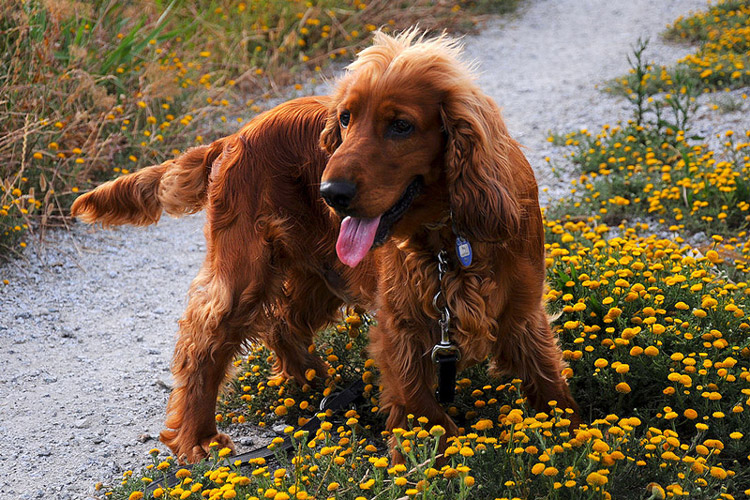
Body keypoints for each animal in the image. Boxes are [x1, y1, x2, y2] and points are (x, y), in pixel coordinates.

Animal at [73, 29, 580, 462]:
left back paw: (316, 384)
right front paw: (429, 461)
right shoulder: (403, 323)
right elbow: (421, 407)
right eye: (346, 118)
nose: (329, 192)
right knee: (204, 341)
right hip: (245, 272)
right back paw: (197, 437)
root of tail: (233, 137)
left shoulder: (521, 312)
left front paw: (570, 437)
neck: (448, 236)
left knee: (282, 323)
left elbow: (547, 380)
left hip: (321, 272)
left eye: (400, 125)